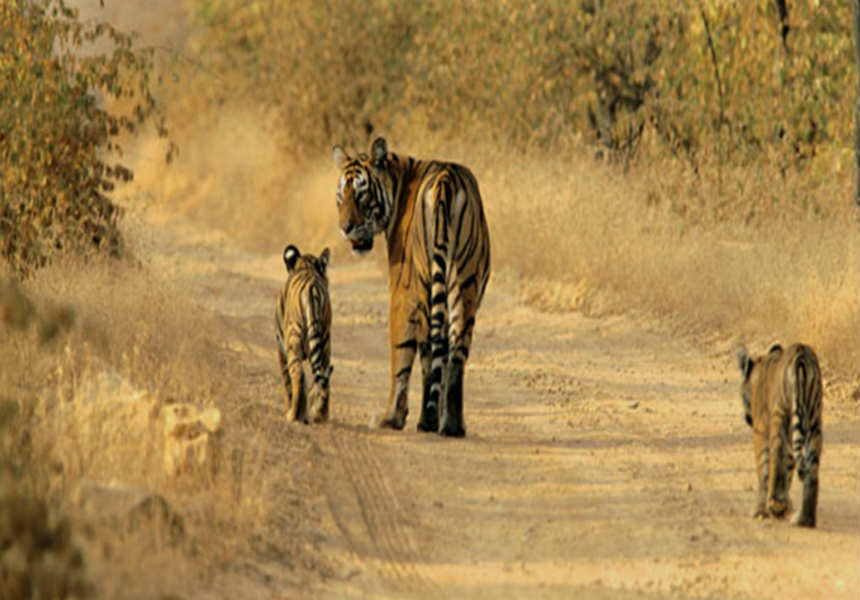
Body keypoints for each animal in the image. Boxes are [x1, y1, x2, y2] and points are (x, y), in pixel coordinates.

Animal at [276, 243, 332, 422]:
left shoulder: (281, 349)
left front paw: (293, 410)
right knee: (324, 378)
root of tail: (312, 288)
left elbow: (287, 382)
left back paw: (292, 415)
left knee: (298, 374)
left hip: (293, 339)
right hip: (325, 341)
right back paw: (320, 416)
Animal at [332, 136, 490, 436]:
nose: (345, 228)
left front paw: (400, 418)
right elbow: (437, 358)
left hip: (419, 284)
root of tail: (447, 180)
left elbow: (404, 354)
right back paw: (452, 425)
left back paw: (408, 419)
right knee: (456, 353)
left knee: (416, 353)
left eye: (361, 195)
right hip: (465, 283)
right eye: (341, 197)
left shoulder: (403, 291)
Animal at [736, 344, 824, 528]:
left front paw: (760, 510)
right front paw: (785, 505)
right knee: (811, 470)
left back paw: (775, 505)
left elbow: (764, 470)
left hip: (780, 417)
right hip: (814, 422)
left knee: (777, 456)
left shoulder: (761, 432)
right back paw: (804, 519)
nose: (748, 419)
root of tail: (801, 353)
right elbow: (789, 467)